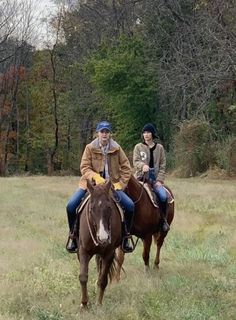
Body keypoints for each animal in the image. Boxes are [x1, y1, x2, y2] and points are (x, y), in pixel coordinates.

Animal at [75, 180, 122, 308]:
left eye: (109, 207)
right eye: (91, 209)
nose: (103, 238)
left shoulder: (109, 253)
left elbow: (103, 280)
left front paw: (99, 303)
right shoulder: (83, 251)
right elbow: (83, 276)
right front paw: (84, 303)